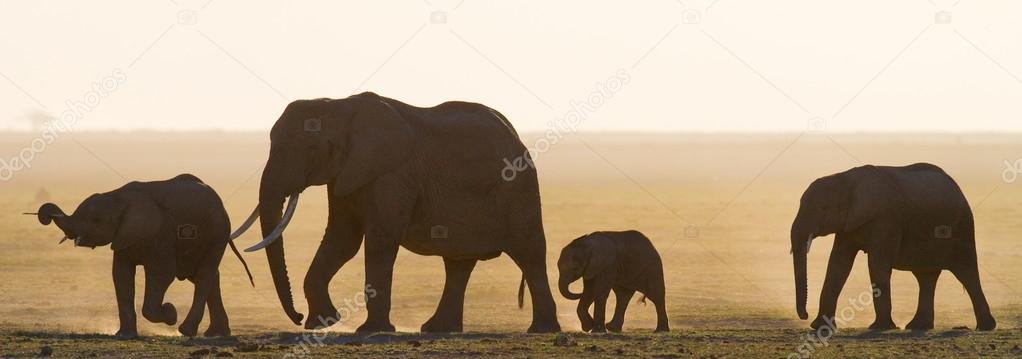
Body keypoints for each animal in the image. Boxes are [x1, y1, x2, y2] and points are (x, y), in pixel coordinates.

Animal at [29, 174, 253, 339]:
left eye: (96, 219)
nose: (45, 215)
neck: (118, 196)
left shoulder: (160, 234)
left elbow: (162, 274)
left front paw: (170, 313)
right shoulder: (124, 236)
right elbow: (121, 274)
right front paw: (124, 335)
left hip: (218, 231)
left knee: (204, 275)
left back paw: (186, 331)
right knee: (208, 277)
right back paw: (216, 334)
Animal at [229, 93, 560, 335]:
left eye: (312, 148)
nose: (297, 317)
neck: (339, 106)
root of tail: (514, 133)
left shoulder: (391, 175)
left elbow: (379, 241)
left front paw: (369, 331)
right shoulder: (347, 174)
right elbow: (342, 240)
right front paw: (323, 323)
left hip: (518, 189)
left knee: (529, 253)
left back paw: (542, 330)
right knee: (458, 263)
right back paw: (437, 329)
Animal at [788, 163, 997, 331]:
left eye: (822, 210)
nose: (804, 315)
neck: (846, 179)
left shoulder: (886, 220)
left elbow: (877, 264)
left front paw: (879, 328)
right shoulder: (848, 224)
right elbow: (838, 264)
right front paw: (819, 327)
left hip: (962, 228)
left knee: (967, 273)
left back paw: (985, 327)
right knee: (926, 278)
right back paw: (918, 326)